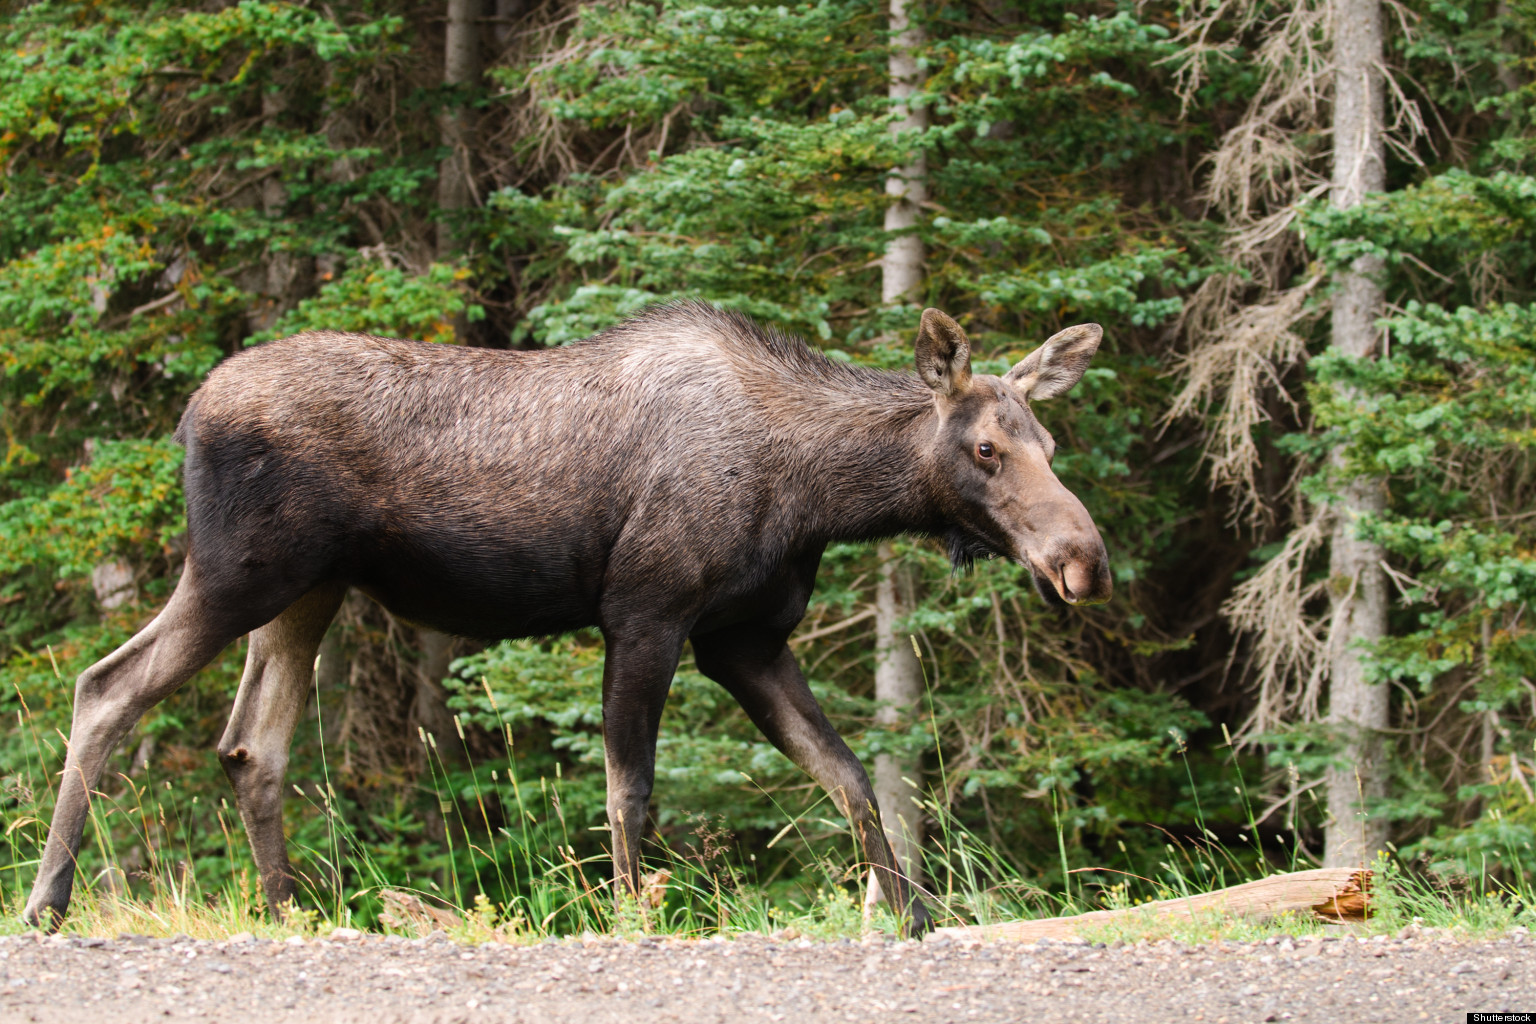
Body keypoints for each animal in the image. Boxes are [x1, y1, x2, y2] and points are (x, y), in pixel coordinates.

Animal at [21, 300, 1105, 933]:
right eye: (986, 449)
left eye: (1050, 442)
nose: (1081, 560)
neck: (816, 496)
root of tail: (189, 411)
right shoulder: (647, 610)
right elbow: (631, 792)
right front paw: (634, 919)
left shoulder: (743, 637)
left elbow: (849, 776)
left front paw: (915, 918)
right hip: (239, 572)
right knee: (106, 686)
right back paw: (46, 901)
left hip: (307, 591)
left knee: (253, 744)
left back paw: (291, 914)